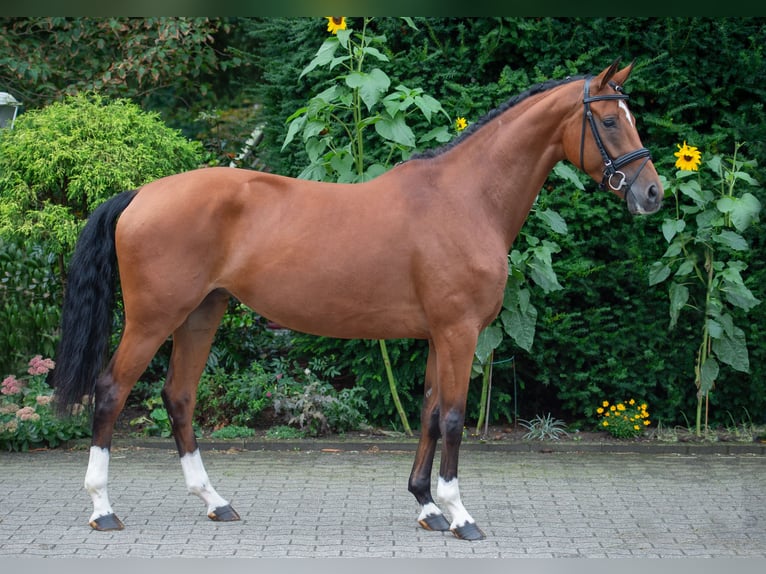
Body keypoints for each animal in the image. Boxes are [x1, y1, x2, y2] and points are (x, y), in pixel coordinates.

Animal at [52, 60, 664, 544]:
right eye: (610, 121)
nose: (652, 193)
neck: (464, 199)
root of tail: (140, 194)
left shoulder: (439, 335)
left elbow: (428, 412)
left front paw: (425, 505)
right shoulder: (459, 331)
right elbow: (454, 417)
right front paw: (459, 514)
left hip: (203, 314)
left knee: (178, 397)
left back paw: (215, 503)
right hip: (154, 319)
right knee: (110, 392)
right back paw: (103, 510)